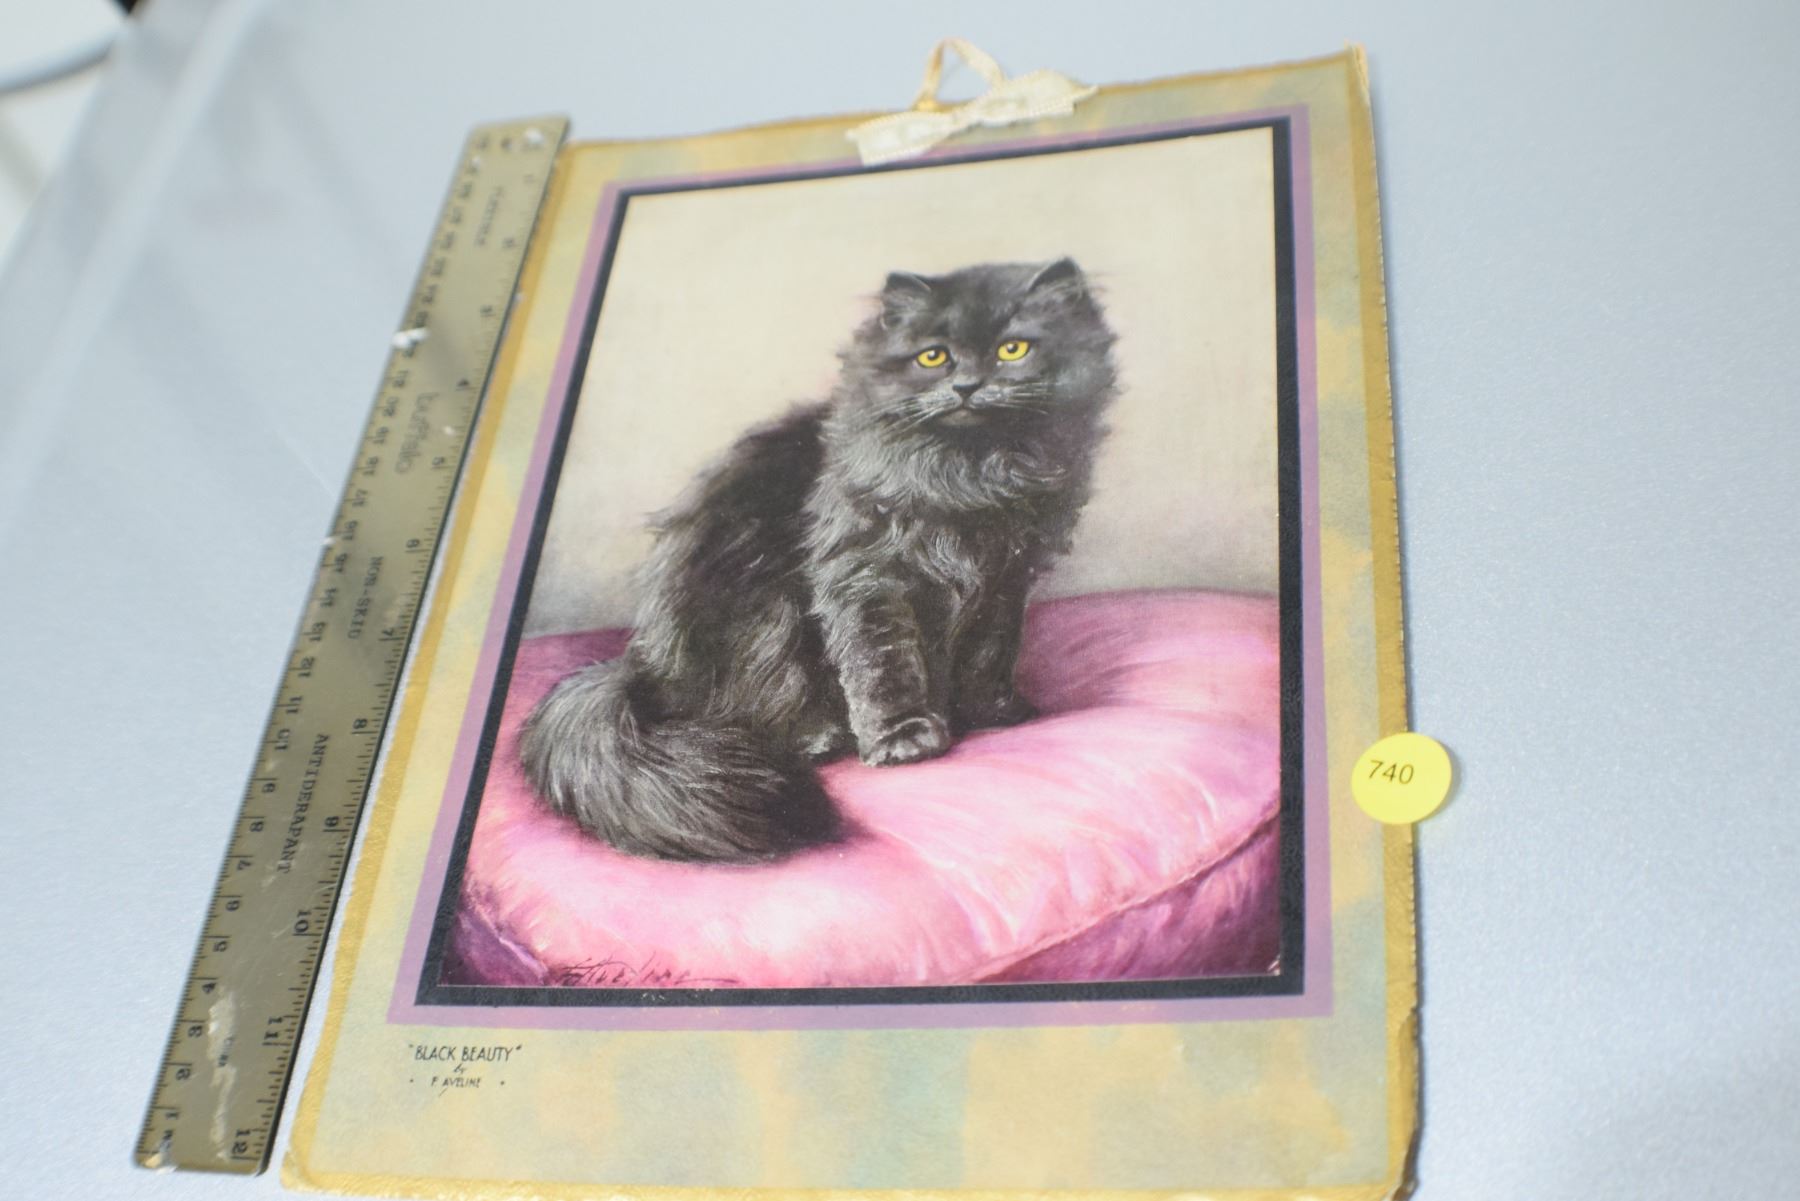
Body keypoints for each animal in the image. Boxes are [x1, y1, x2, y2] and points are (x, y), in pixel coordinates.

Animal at [519, 258, 1118, 863]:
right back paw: (821, 738)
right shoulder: (865, 576)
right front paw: (903, 739)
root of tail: (643, 672)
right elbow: (886, 668)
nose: (968, 386)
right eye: (933, 357)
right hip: (769, 624)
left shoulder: (1004, 579)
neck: (974, 474)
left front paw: (995, 712)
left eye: (1012, 350)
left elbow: (990, 654)